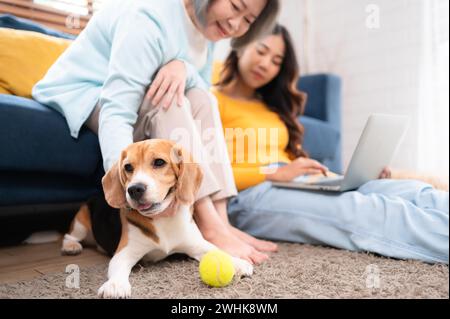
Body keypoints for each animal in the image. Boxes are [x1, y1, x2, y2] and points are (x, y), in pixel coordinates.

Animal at [62, 140, 253, 300]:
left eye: (159, 162)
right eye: (128, 167)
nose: (134, 189)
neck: (162, 219)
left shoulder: (196, 244)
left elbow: (217, 250)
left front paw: (237, 262)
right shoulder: (124, 253)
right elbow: (118, 268)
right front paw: (115, 285)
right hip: (81, 222)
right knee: (70, 235)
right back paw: (71, 246)